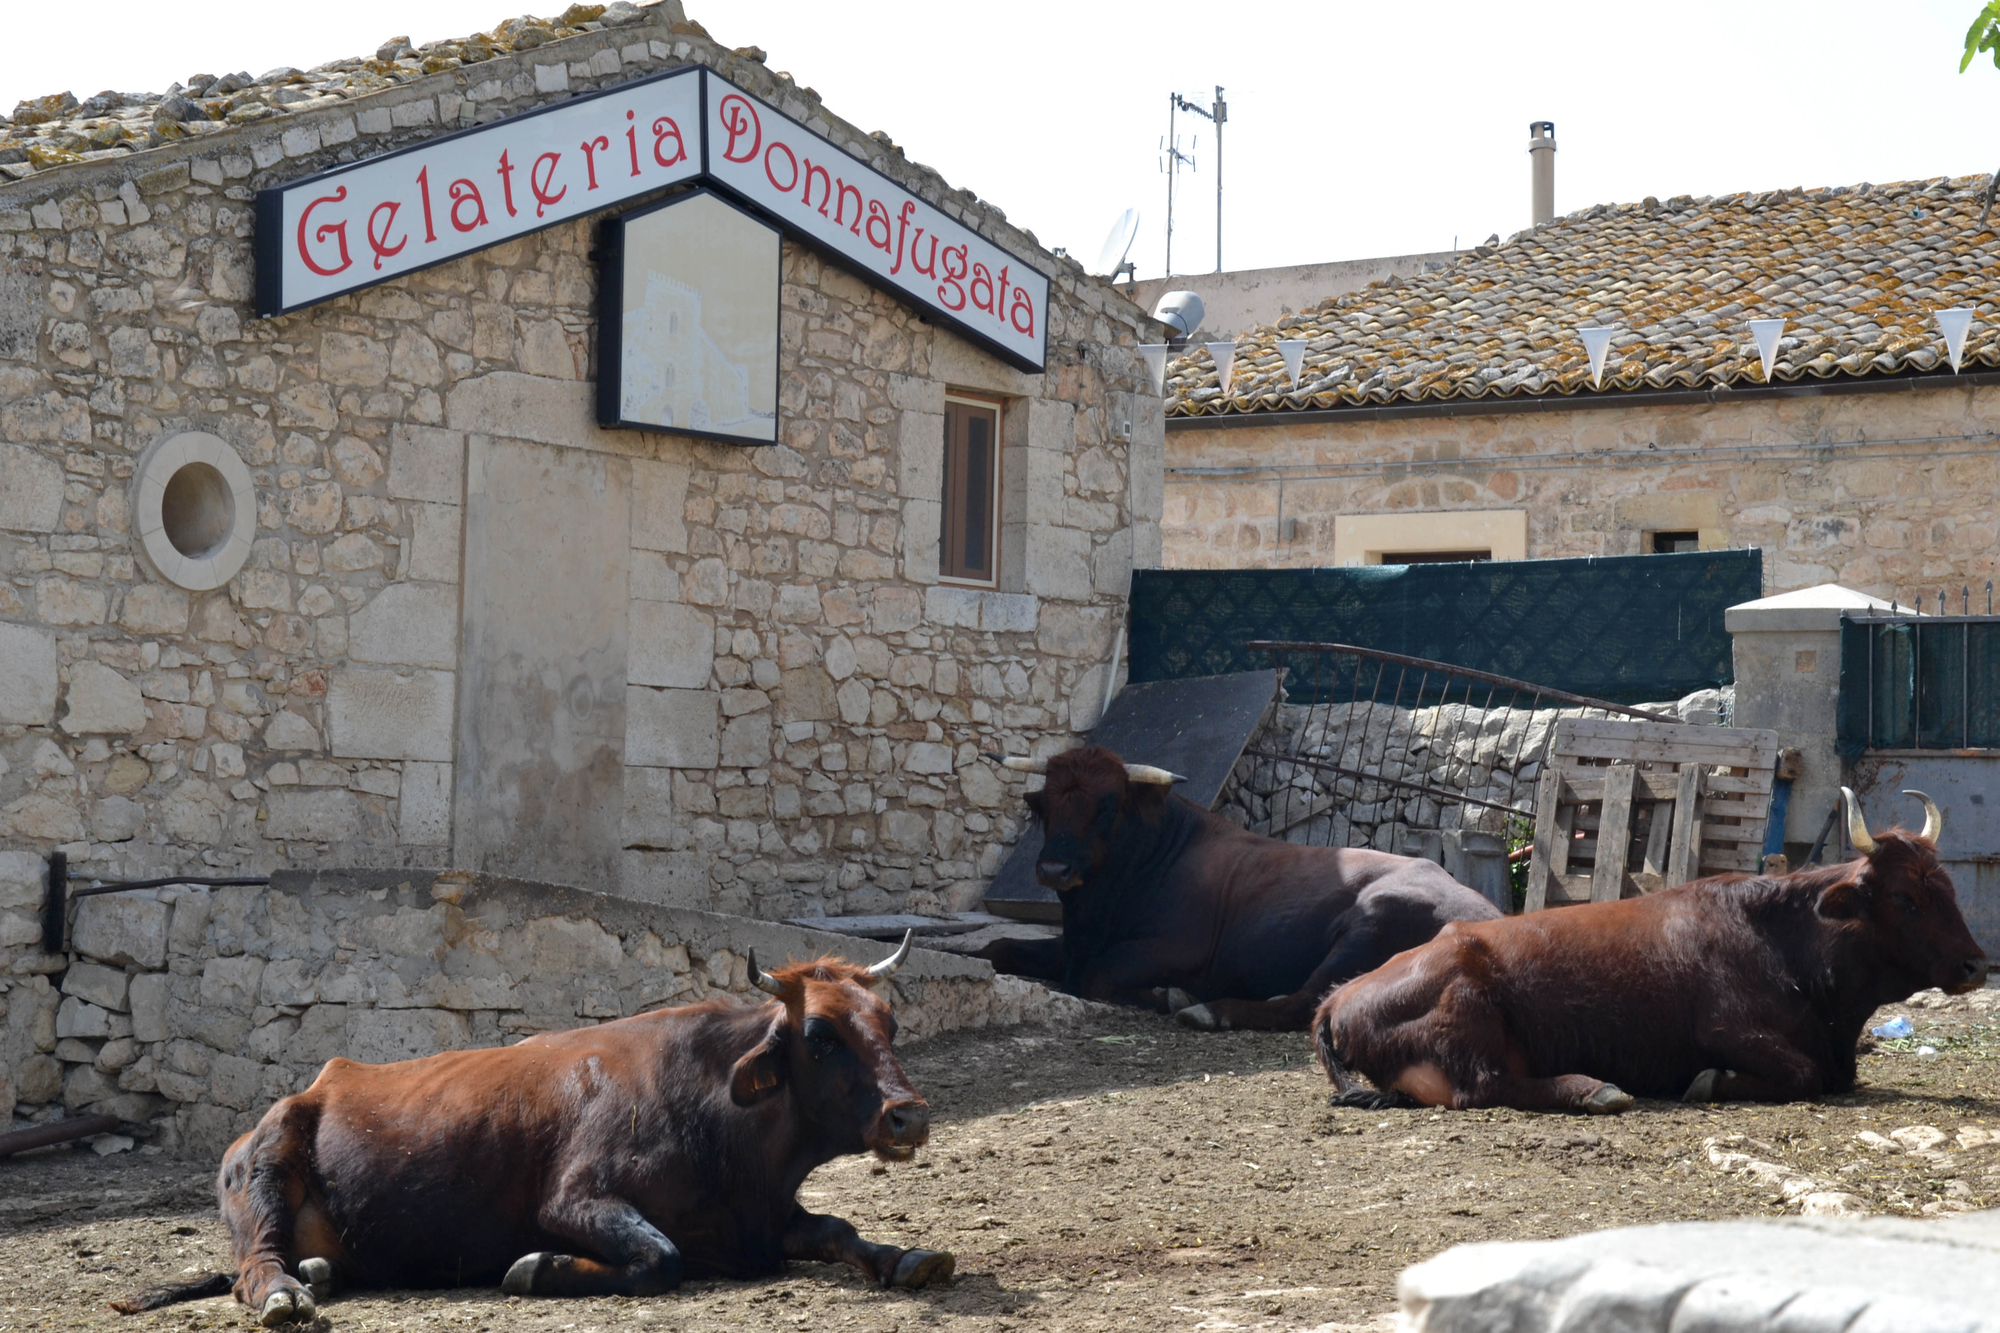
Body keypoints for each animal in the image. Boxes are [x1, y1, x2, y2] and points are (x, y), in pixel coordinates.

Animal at [113, 932, 956, 1320]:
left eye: (888, 1021)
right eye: (819, 1034)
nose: (908, 1112)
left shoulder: (763, 1219)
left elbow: (840, 1228)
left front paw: (910, 1256)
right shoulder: (575, 1198)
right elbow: (661, 1256)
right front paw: (536, 1266)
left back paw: (317, 1273)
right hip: (266, 1169)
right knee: (256, 1265)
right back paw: (290, 1293)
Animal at [1320, 788, 1992, 1112]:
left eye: (1948, 887)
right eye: (1905, 897)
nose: (1975, 965)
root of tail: (1338, 999)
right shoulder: (1725, 1028)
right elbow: (1799, 1074)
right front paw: (1708, 1083)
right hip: (1468, 1010)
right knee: (1484, 1086)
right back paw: (1595, 1089)